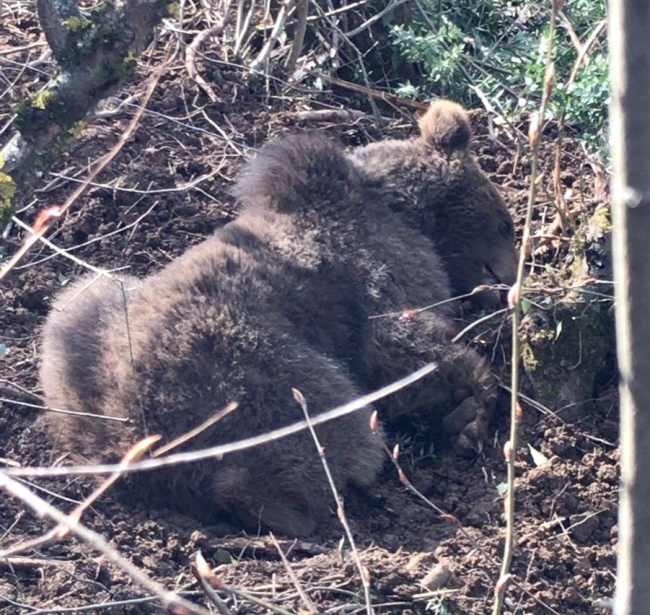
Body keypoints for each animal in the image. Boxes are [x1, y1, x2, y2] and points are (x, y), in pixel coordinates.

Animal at [40, 103, 512, 536]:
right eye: (506, 222)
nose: (509, 283)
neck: (405, 211)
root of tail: (129, 438)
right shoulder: (382, 281)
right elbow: (401, 347)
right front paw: (472, 411)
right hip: (254, 370)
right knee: (332, 431)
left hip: (86, 322)